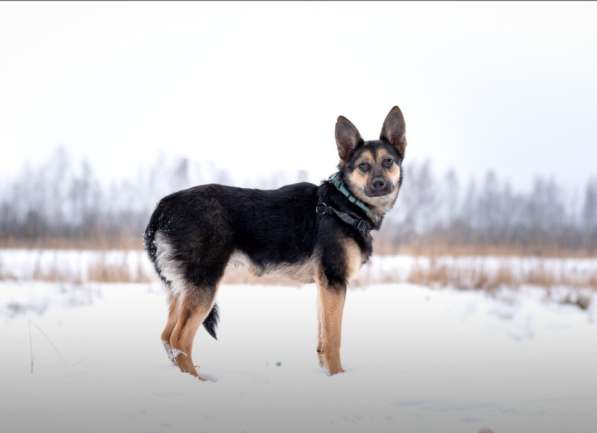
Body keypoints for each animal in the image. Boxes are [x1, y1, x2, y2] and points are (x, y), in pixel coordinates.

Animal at [144, 105, 406, 378]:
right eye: (363, 166)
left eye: (388, 162)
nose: (379, 184)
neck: (344, 204)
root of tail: (164, 206)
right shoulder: (334, 282)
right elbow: (334, 339)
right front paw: (338, 376)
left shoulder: (324, 287)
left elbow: (322, 339)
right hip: (204, 285)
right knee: (179, 339)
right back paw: (198, 381)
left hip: (182, 288)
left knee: (166, 336)